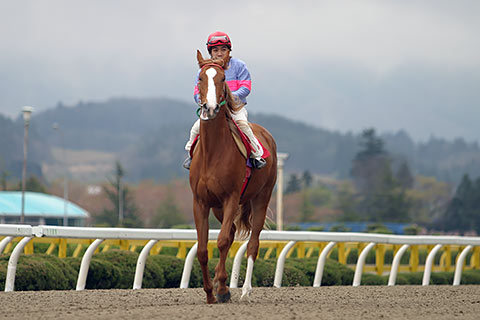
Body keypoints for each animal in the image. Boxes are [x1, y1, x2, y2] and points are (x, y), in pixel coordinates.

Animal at [188, 49, 278, 302]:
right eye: (200, 78)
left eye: (222, 79)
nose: (209, 108)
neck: (213, 151)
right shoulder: (200, 201)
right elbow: (203, 249)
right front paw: (211, 292)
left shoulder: (231, 197)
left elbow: (221, 241)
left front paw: (220, 288)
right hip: (219, 207)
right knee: (229, 234)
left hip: (261, 197)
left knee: (252, 243)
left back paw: (245, 290)